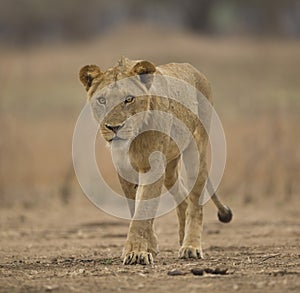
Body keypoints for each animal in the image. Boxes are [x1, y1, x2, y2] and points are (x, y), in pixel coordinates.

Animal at [78, 57, 232, 264]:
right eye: (102, 100)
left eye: (129, 99)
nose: (114, 127)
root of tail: (194, 69)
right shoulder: (124, 170)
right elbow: (136, 208)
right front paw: (149, 247)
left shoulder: (152, 167)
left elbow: (143, 209)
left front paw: (136, 253)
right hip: (170, 168)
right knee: (182, 196)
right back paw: (181, 238)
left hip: (196, 151)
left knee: (195, 202)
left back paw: (190, 247)